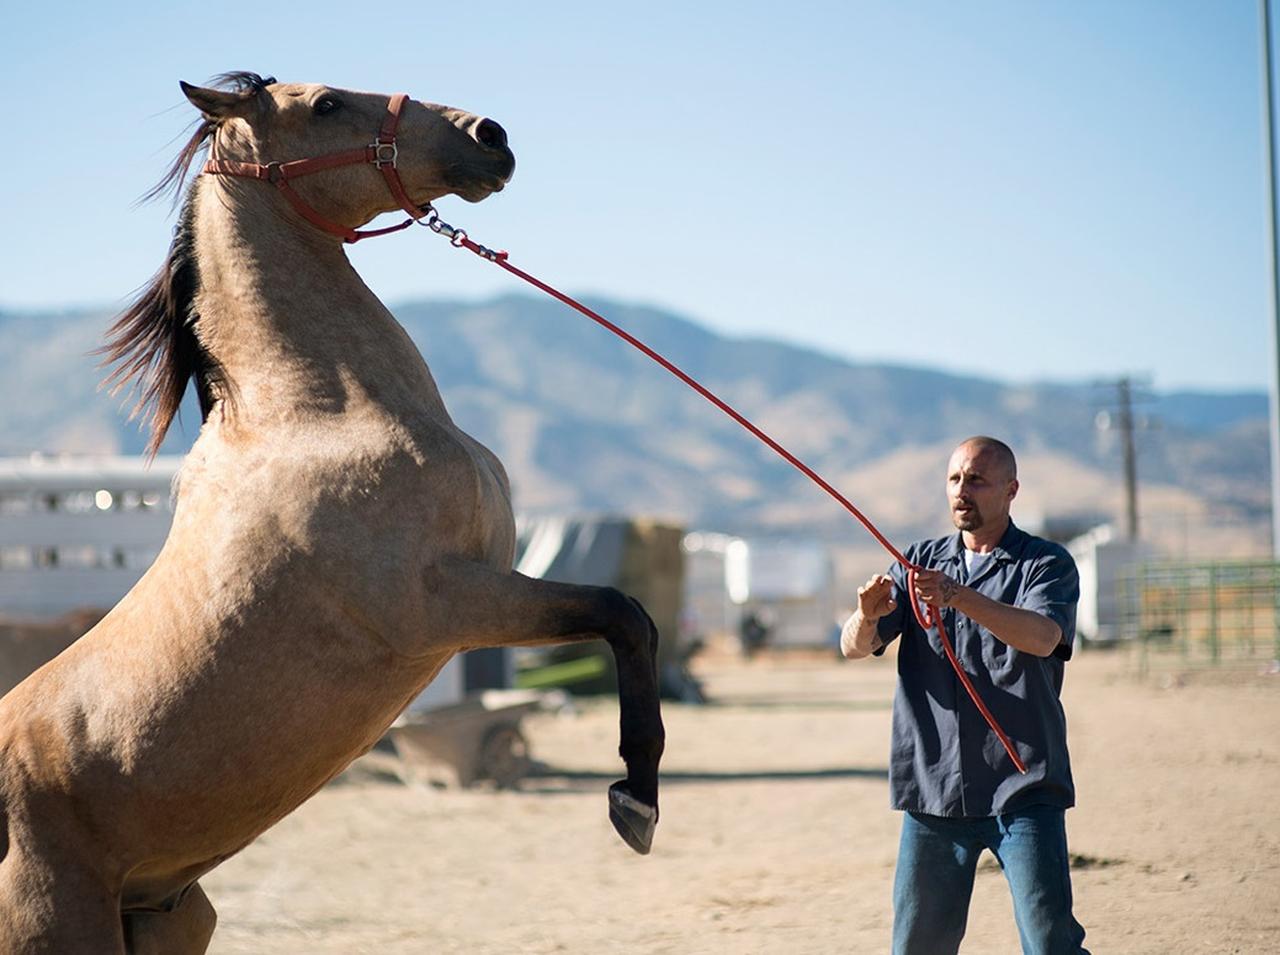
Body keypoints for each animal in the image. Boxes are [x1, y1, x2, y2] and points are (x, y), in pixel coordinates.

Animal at [2, 70, 670, 947]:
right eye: (325, 104)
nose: (489, 136)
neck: (319, 413)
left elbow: (632, 620)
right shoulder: (445, 603)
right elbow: (623, 613)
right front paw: (635, 800)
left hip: (170, 918)